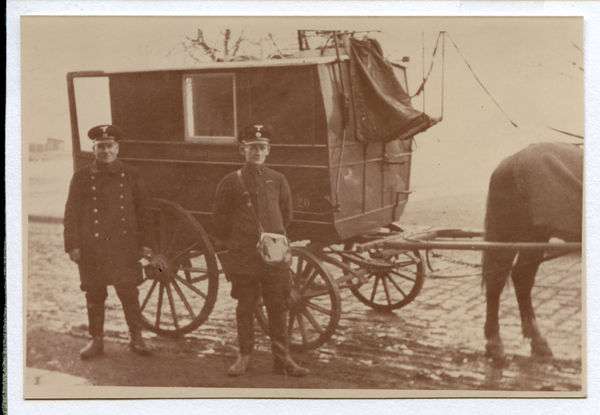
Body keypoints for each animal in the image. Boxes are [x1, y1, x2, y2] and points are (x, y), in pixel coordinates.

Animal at [482, 141, 580, 362]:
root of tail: (511, 160)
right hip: (514, 234)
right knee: (498, 279)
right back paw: (495, 342)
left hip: (533, 235)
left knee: (521, 277)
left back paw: (537, 340)